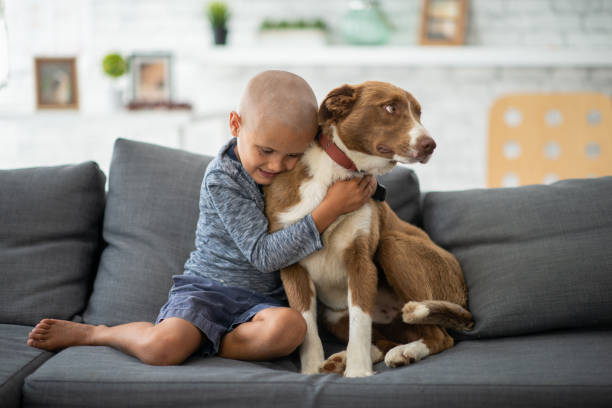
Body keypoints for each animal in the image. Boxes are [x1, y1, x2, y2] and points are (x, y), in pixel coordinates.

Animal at [262, 81, 474, 378]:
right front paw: (312, 371)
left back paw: (404, 353)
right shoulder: (291, 264)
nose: (430, 145)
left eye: (419, 113)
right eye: (390, 107)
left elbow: (360, 324)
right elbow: (307, 327)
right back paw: (341, 359)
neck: (338, 175)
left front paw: (358, 372)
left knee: (440, 337)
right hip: (334, 314)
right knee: (386, 341)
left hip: (395, 247)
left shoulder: (360, 261)